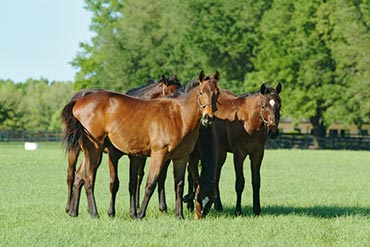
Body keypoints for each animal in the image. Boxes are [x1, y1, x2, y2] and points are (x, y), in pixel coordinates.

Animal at [60, 71, 220, 218]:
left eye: (217, 94)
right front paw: (140, 214)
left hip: (90, 152)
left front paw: (179, 215)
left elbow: (178, 185)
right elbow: (150, 183)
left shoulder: (181, 157)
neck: (178, 116)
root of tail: (78, 101)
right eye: (201, 92)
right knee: (84, 177)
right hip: (93, 149)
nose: (208, 118)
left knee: (80, 176)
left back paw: (74, 212)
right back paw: (92, 213)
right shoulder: (158, 154)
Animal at [185, 82, 280, 214]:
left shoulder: (257, 153)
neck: (248, 121)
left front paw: (256, 209)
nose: (273, 131)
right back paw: (190, 205)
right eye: (263, 106)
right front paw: (238, 210)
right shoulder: (239, 154)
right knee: (191, 175)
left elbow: (256, 181)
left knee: (216, 177)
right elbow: (240, 182)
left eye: (279, 106)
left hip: (220, 153)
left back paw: (218, 206)